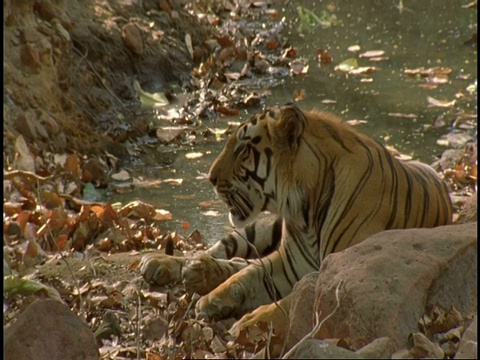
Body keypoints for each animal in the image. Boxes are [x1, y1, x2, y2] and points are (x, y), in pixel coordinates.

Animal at [138, 102, 450, 322]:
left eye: (242, 149)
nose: (211, 178)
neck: (304, 210)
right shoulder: (289, 263)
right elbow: (248, 275)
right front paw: (210, 300)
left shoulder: (336, 272)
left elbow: (290, 303)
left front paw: (249, 321)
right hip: (258, 228)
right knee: (225, 253)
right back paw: (168, 264)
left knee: (239, 261)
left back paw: (199, 273)